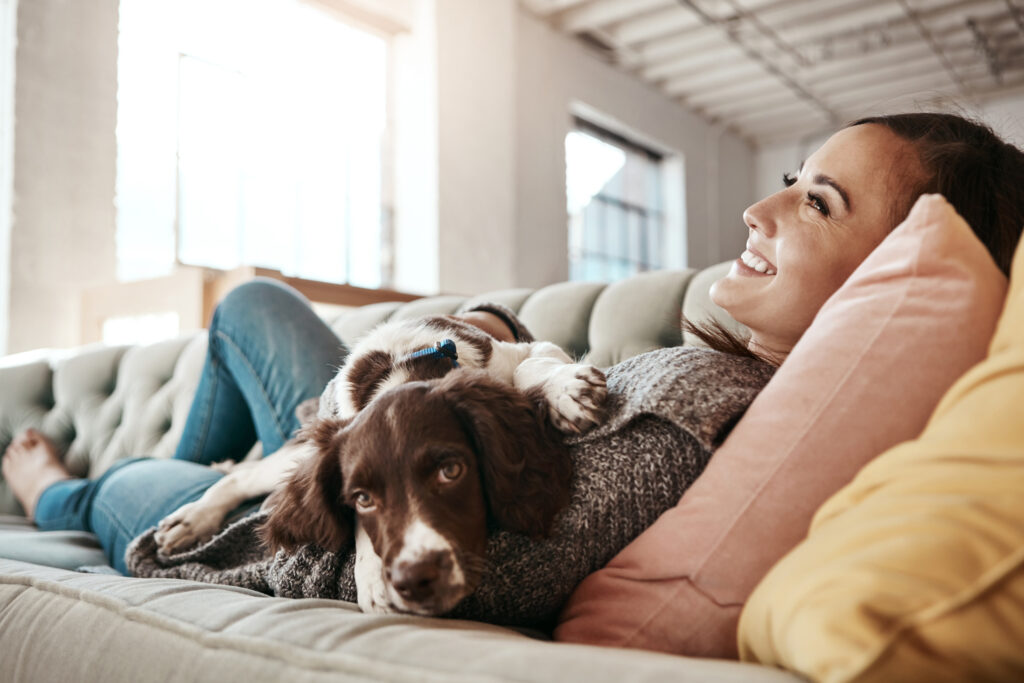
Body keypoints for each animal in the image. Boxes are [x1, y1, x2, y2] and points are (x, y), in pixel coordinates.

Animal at [154, 309, 602, 614]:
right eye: (363, 498)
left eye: (451, 472)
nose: (417, 577)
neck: (402, 370)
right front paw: (372, 576)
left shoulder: (523, 351)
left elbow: (533, 363)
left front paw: (566, 390)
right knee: (243, 476)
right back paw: (190, 519)